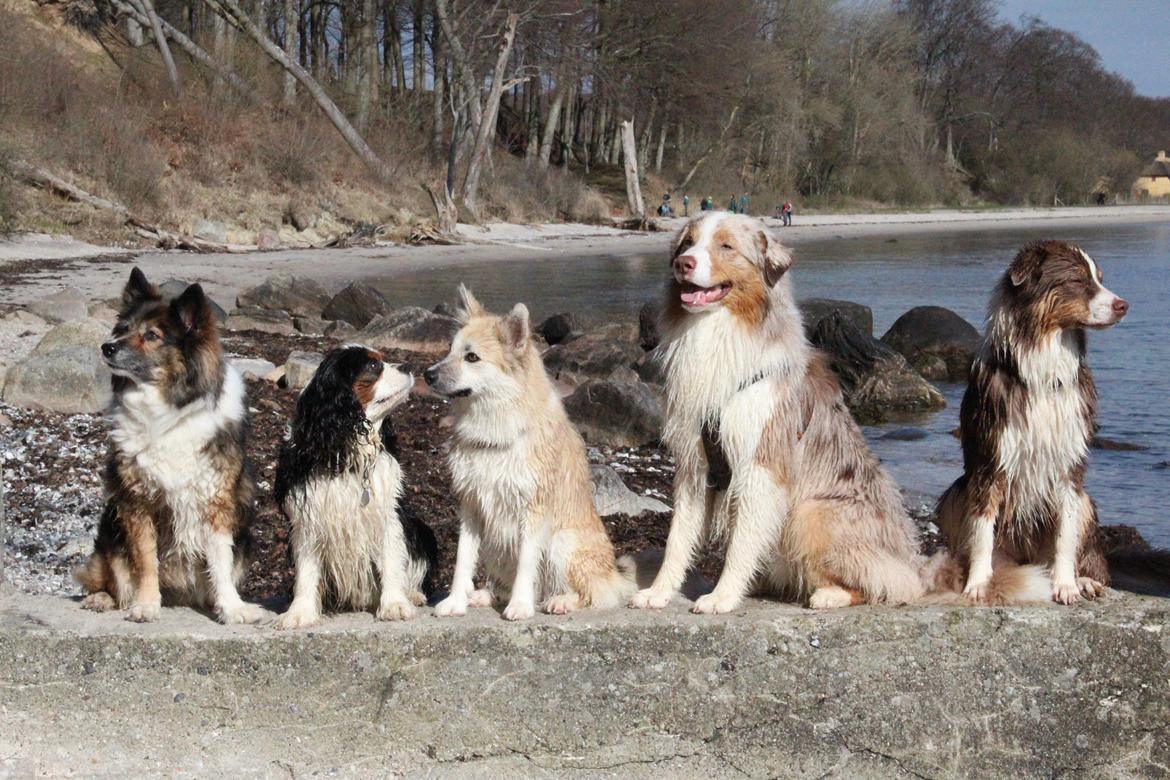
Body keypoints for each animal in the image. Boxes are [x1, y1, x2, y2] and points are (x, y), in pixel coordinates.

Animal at [631, 211, 931, 608]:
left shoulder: (760, 462)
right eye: (687, 243)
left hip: (811, 512)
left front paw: (722, 597)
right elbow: (678, 538)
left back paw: (828, 596)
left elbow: (741, 543)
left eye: (726, 246)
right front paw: (659, 592)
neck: (717, 330)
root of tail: (906, 557)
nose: (684, 263)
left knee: (882, 582)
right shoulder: (695, 464)